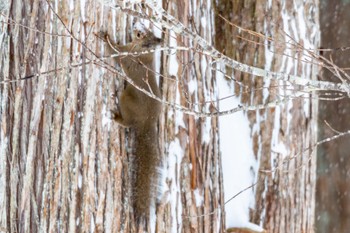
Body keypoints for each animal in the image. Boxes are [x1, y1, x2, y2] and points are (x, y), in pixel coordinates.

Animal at [98, 26, 162, 223]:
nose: (135, 26)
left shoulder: (127, 55)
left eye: (140, 34)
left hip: (126, 99)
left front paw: (105, 37)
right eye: (145, 31)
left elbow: (116, 53)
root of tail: (148, 121)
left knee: (127, 122)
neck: (142, 51)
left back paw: (116, 117)